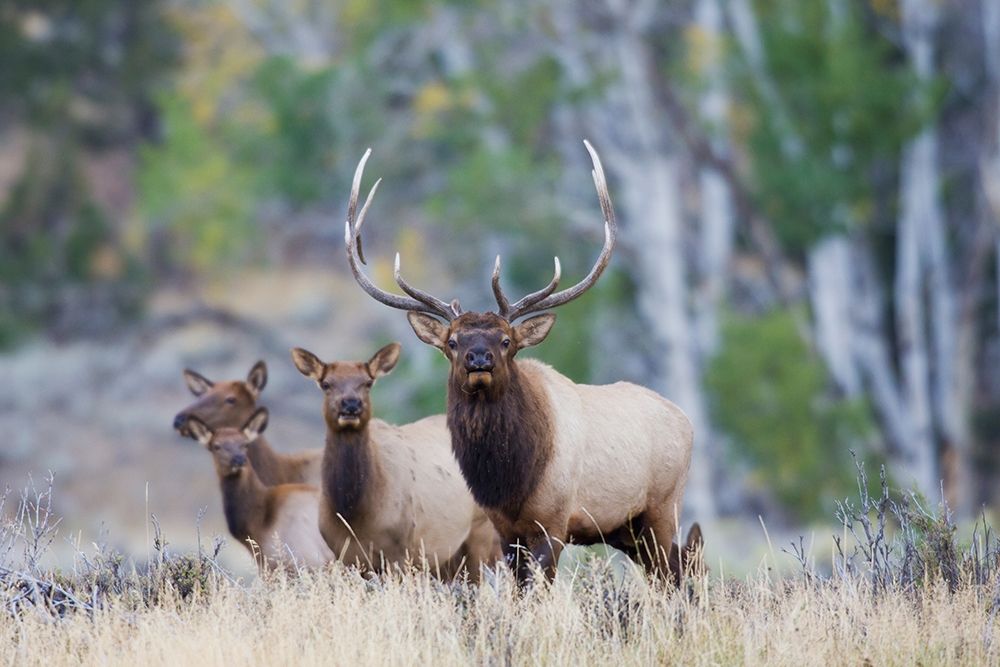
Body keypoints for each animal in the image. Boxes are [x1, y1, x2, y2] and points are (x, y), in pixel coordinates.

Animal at [292, 344, 504, 580]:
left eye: (368, 382)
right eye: (326, 384)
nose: (351, 404)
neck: (354, 511)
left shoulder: (400, 550)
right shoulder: (344, 555)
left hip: (481, 529)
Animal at [340, 144, 692, 580]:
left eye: (506, 340)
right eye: (452, 342)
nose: (479, 358)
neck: (508, 480)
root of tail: (685, 420)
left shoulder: (554, 521)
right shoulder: (504, 529)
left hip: (663, 509)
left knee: (675, 574)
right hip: (627, 531)